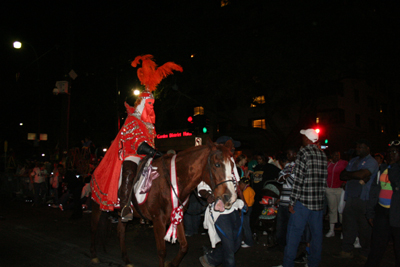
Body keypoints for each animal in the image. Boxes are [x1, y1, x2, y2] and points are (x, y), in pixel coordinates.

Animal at [91, 139, 238, 266]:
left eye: (232, 165)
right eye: (217, 164)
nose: (230, 197)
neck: (171, 182)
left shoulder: (177, 216)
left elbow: (184, 246)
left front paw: (172, 263)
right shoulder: (158, 220)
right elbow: (162, 252)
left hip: (123, 214)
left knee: (120, 231)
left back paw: (126, 260)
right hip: (97, 206)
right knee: (95, 228)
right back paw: (94, 255)